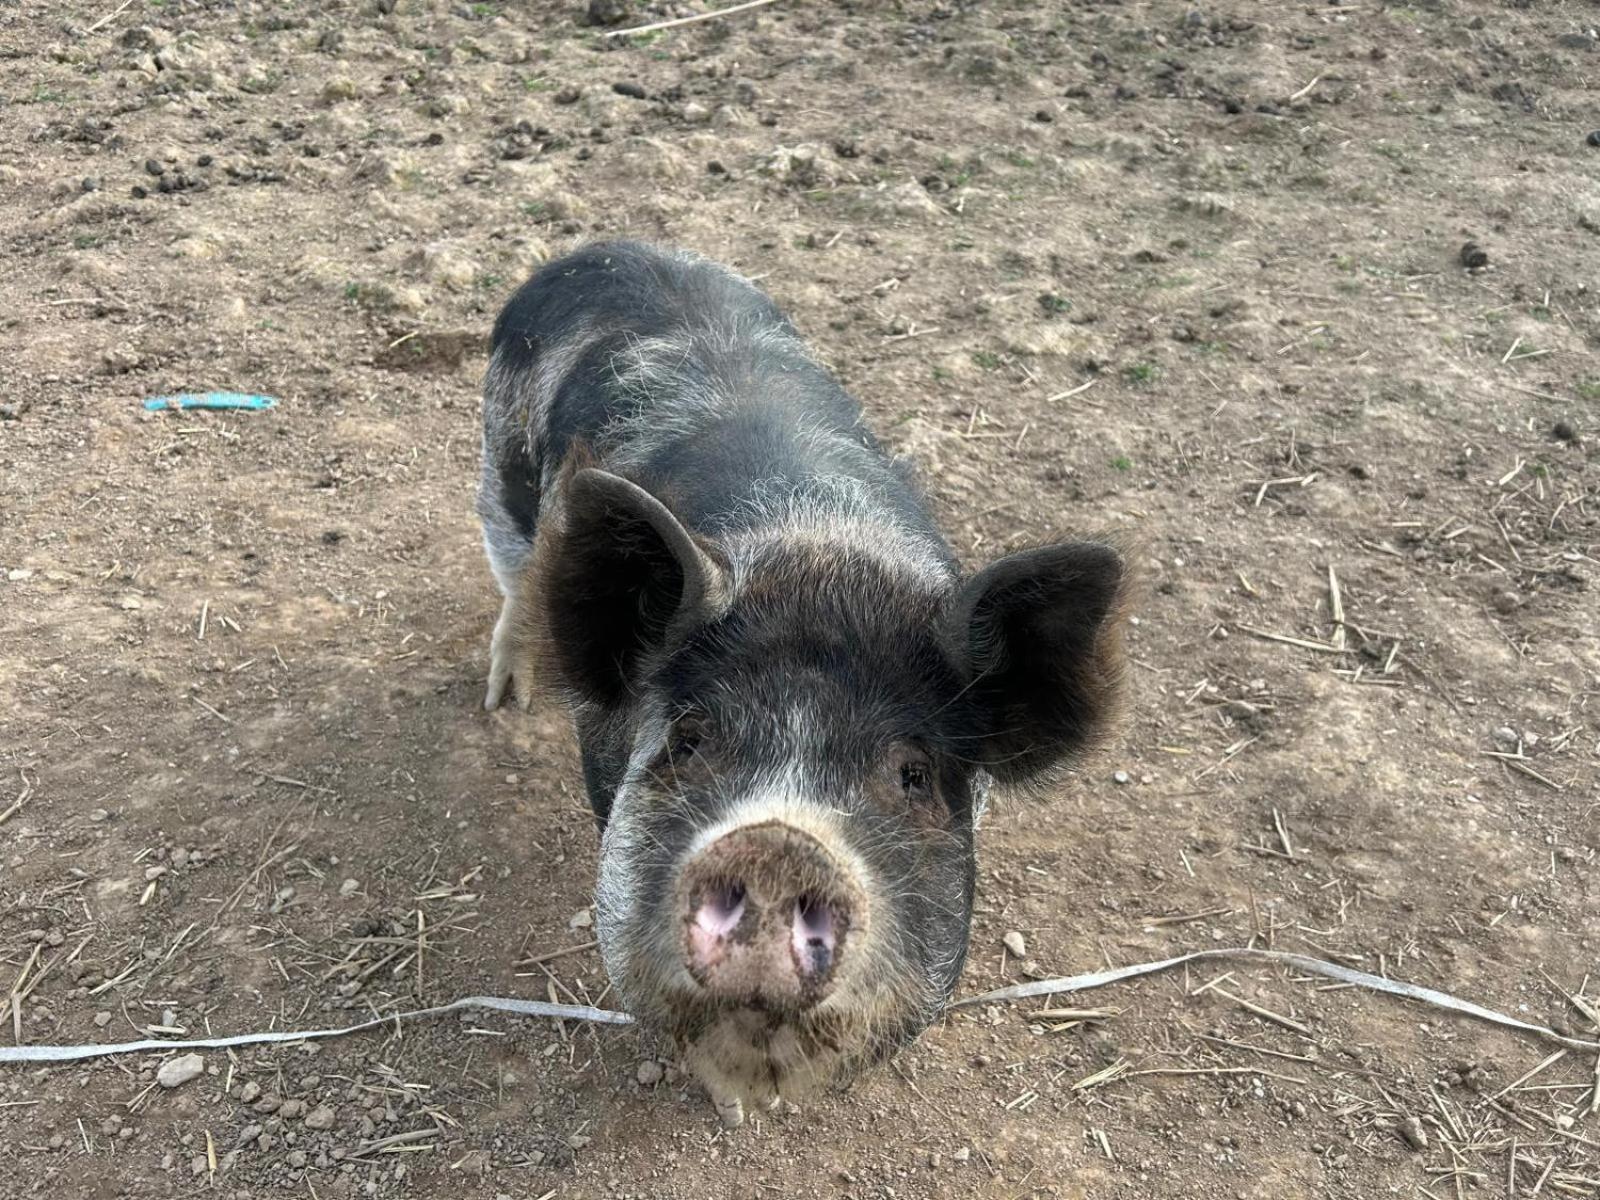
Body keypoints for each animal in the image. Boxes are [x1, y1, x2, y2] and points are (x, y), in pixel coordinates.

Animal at [476, 241, 1139, 1126]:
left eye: (913, 774)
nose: (779, 844)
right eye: (689, 738)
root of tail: (597, 250)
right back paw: (502, 700)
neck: (813, 543)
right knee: (519, 575)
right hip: (498, 472)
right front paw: (732, 1111)